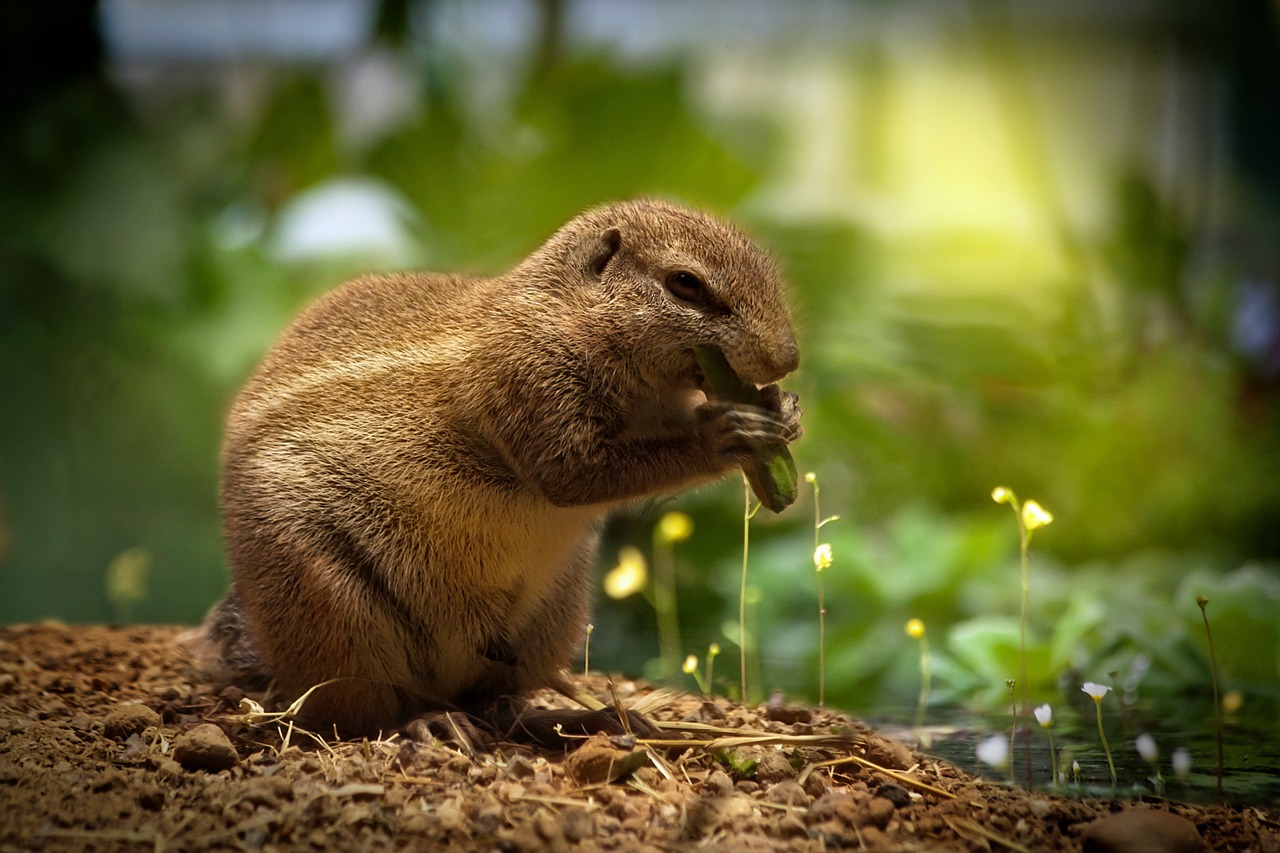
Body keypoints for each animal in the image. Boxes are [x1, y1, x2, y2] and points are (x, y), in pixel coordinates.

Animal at [189, 195, 798, 732]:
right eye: (685, 284)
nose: (787, 359)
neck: (567, 317)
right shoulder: (526, 383)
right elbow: (576, 474)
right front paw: (726, 433)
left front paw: (781, 410)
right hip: (333, 607)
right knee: (363, 714)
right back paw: (428, 723)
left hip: (551, 617)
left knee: (494, 702)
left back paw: (580, 717)